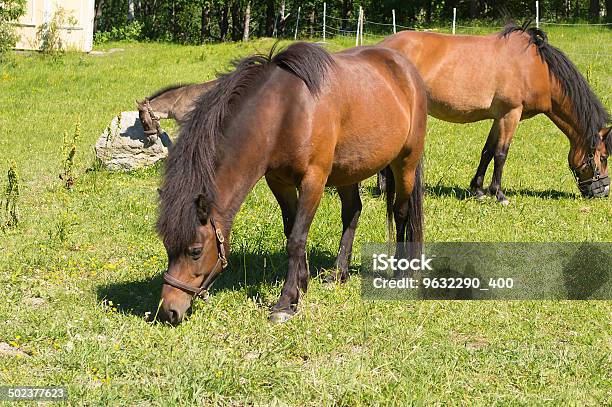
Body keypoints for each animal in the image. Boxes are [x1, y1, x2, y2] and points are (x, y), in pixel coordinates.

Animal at [380, 21, 608, 201]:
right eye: (604, 157)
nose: (604, 191)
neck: (535, 69)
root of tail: (381, 47)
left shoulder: (499, 118)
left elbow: (487, 151)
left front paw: (478, 190)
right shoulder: (511, 114)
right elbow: (501, 153)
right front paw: (498, 194)